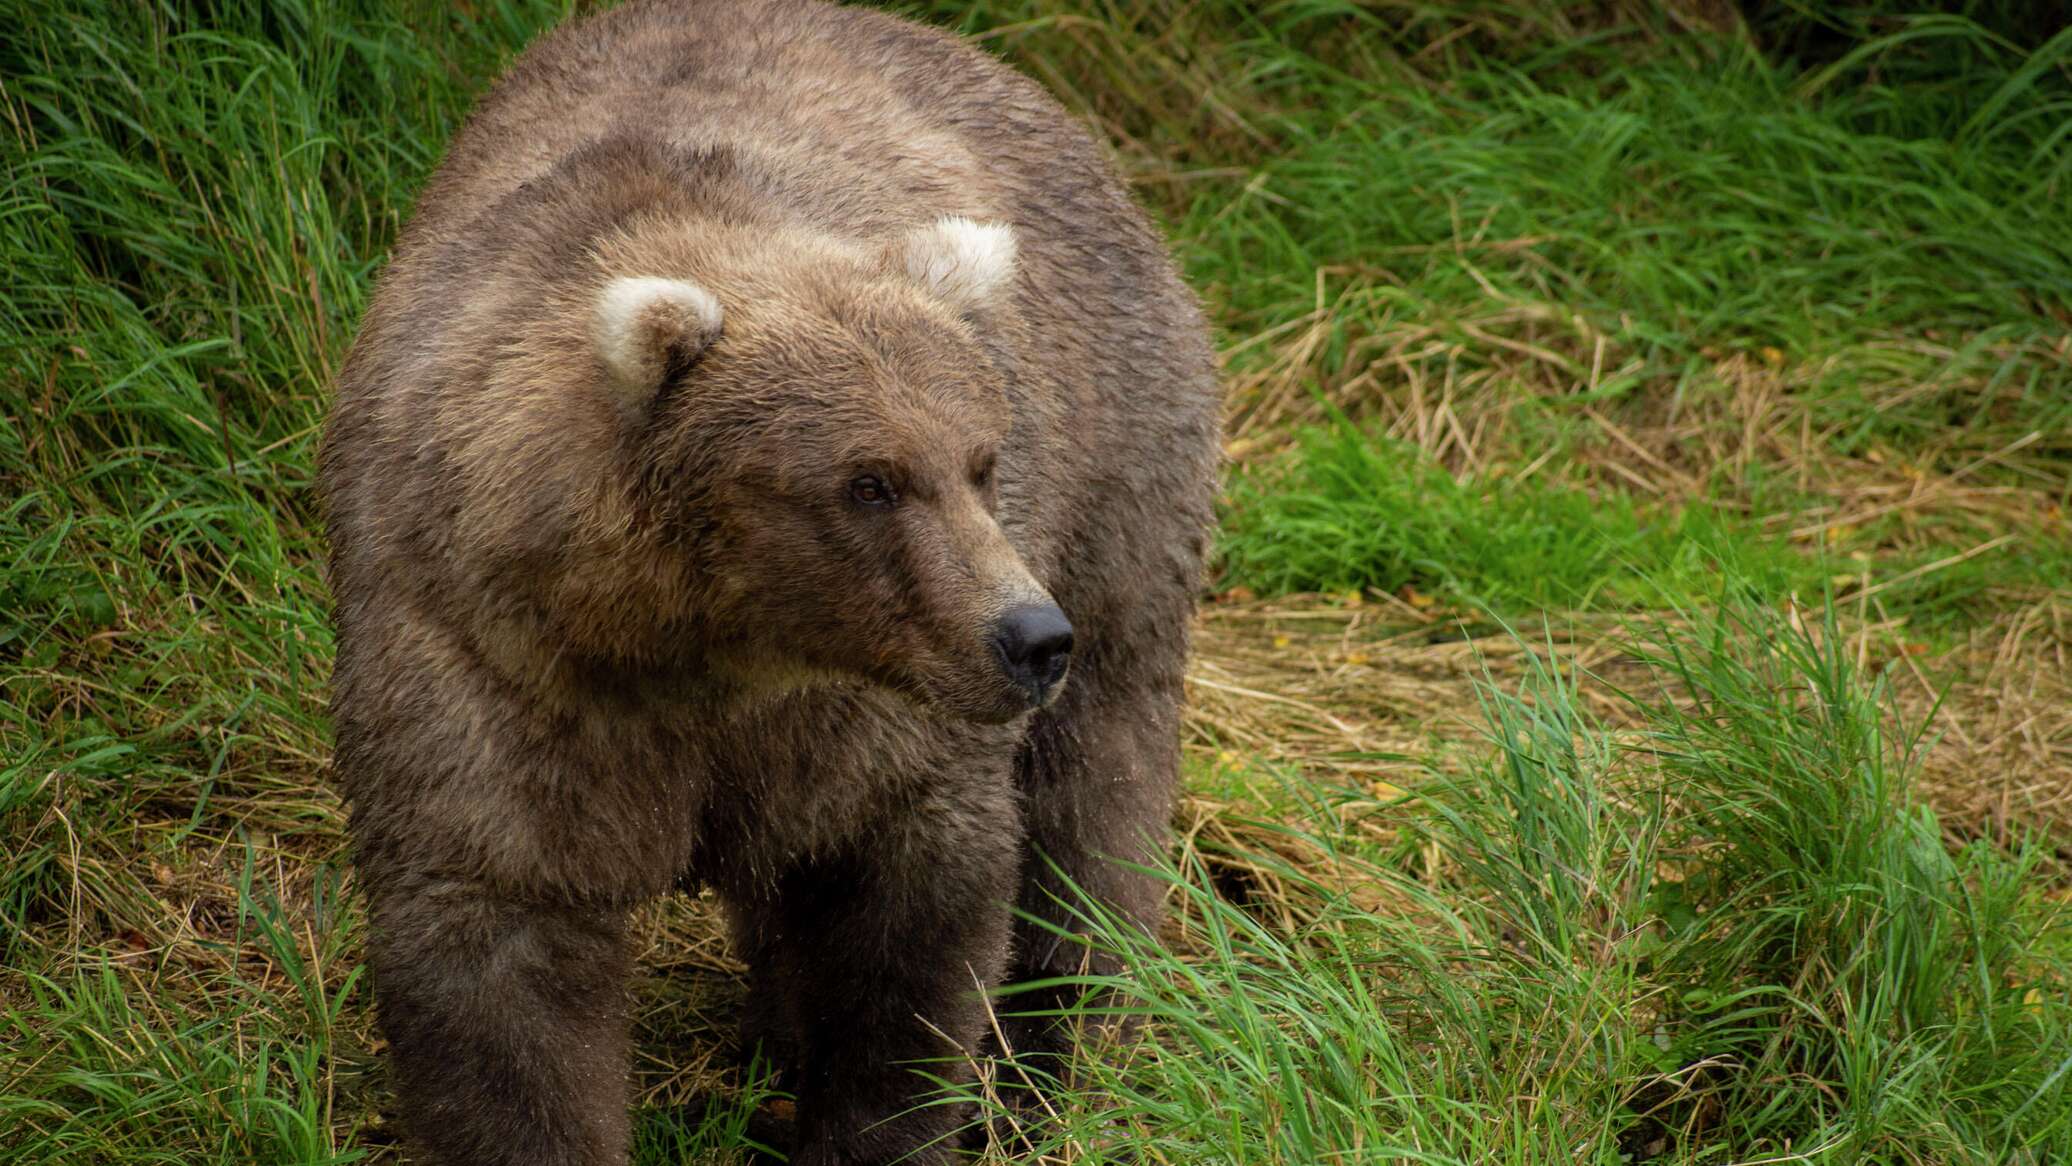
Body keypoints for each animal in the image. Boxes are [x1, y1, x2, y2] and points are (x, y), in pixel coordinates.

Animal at [319, 0, 1210, 1159]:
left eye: (980, 459)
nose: (1025, 634)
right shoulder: (488, 661)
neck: (702, 643)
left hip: (1121, 452)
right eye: (869, 481)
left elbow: (908, 928)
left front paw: (880, 1119)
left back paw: (1059, 1054)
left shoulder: (872, 719)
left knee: (1095, 780)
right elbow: (497, 952)